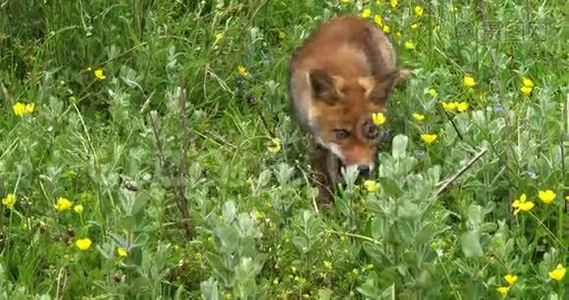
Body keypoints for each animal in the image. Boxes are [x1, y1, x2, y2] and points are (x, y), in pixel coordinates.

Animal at [288, 16, 408, 204]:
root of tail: (354, 17)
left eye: (372, 132)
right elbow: (323, 174)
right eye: (341, 133)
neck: (342, 70)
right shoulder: (317, 141)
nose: (364, 169)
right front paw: (327, 202)